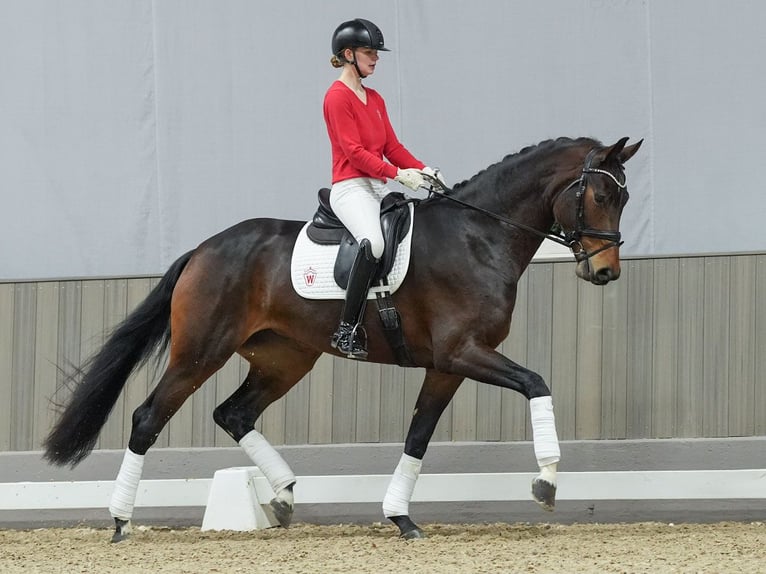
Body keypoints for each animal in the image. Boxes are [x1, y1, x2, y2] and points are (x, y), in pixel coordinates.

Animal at [40, 136, 640, 544]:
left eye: (624, 198)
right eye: (598, 194)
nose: (606, 272)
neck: (479, 236)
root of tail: (204, 248)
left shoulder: (447, 366)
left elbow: (418, 436)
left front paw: (400, 516)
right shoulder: (463, 353)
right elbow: (537, 383)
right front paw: (547, 482)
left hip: (285, 358)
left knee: (234, 413)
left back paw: (283, 496)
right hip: (200, 353)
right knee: (148, 417)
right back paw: (121, 521)